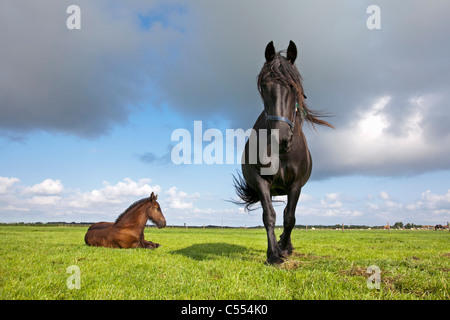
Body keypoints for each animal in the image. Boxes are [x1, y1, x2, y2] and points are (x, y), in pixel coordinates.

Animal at [234, 40, 332, 264]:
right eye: (263, 86)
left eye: (294, 87)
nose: (282, 137)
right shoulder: (261, 180)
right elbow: (269, 216)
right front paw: (273, 255)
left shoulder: (296, 184)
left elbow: (290, 218)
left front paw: (285, 248)